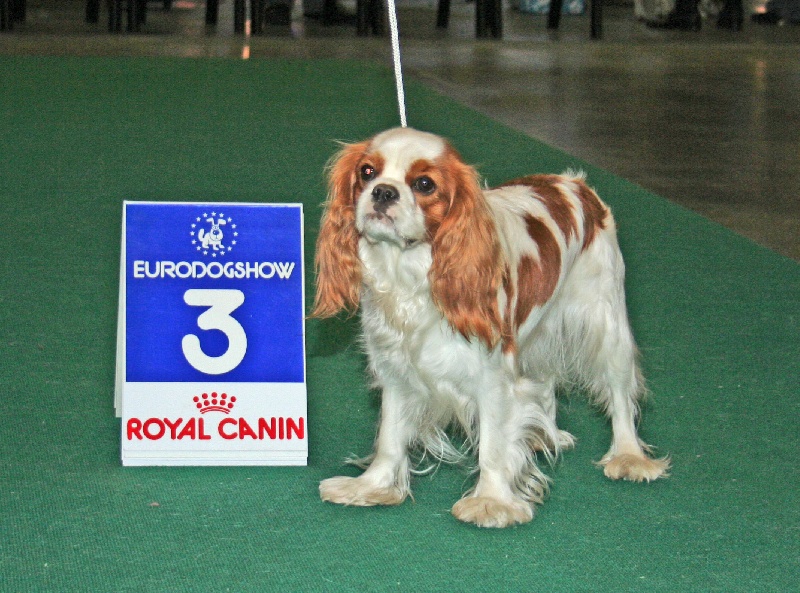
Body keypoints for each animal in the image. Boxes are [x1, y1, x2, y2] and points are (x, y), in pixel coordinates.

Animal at [312, 127, 669, 528]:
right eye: (367, 172)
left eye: (424, 184)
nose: (383, 192)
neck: (409, 274)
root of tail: (575, 183)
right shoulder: (396, 368)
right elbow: (390, 436)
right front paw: (372, 486)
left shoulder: (492, 375)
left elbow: (494, 446)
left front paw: (491, 501)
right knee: (545, 380)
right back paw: (541, 434)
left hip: (605, 322)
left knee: (619, 393)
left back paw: (628, 456)